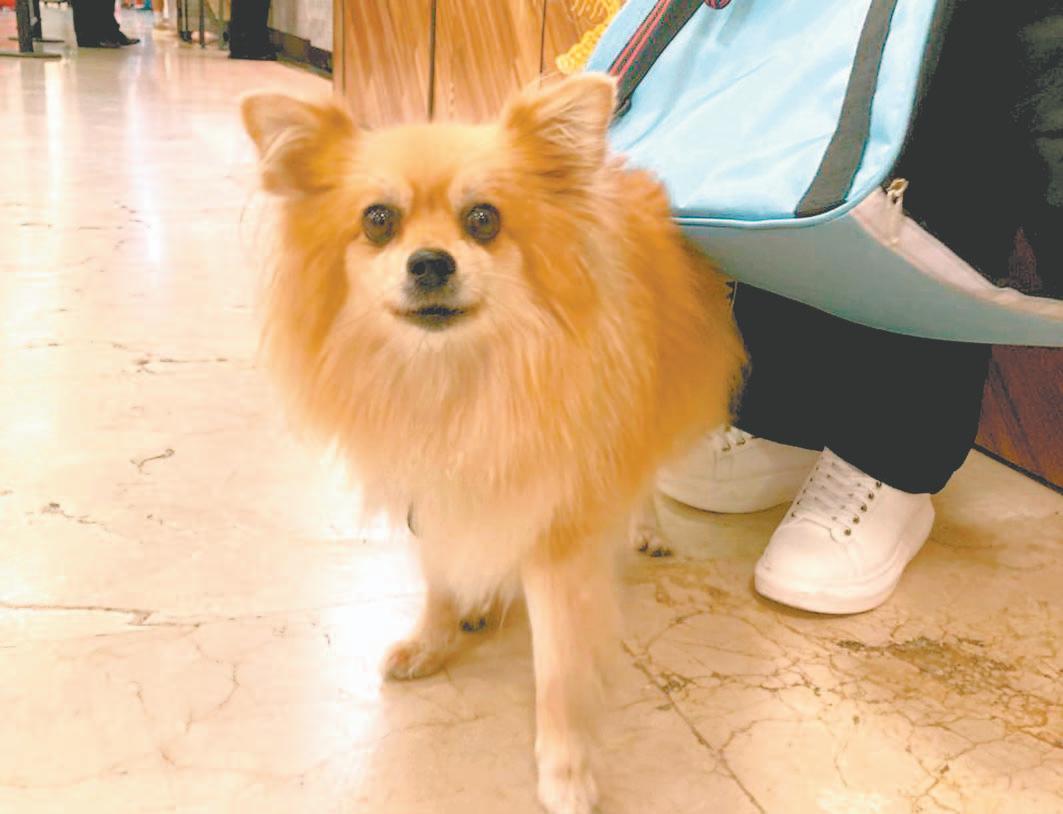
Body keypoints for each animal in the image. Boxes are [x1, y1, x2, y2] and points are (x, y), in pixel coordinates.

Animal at [241, 74, 745, 814]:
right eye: (377, 220)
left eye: (483, 219)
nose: (429, 262)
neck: (458, 381)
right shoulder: (435, 492)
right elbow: (440, 577)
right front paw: (436, 638)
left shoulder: (559, 528)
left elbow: (559, 670)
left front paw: (565, 771)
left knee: (643, 476)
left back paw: (645, 527)